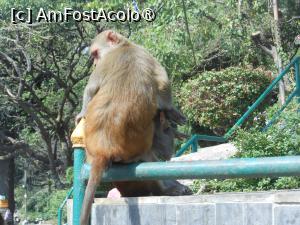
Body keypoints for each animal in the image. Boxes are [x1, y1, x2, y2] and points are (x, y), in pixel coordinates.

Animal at [78, 31, 184, 225]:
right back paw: (168, 189)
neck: (124, 46)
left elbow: (90, 90)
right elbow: (163, 83)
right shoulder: (143, 52)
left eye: (95, 54)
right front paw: (172, 111)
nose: (94, 64)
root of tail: (103, 149)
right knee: (150, 156)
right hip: (132, 152)